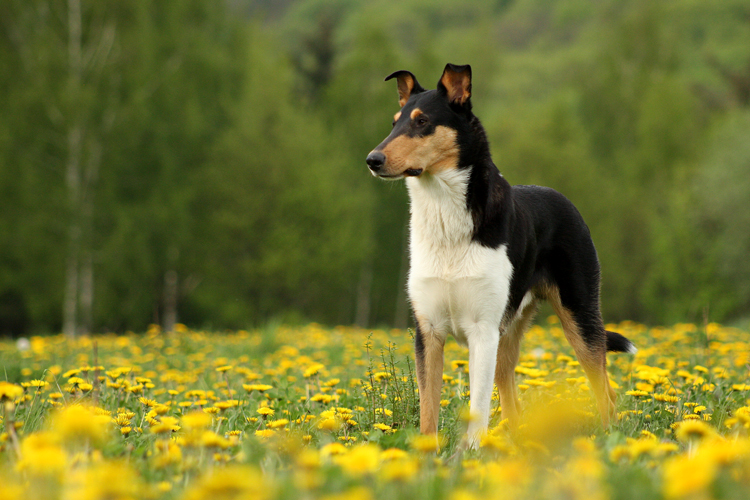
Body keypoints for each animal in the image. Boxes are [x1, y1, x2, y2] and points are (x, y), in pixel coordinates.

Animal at [368, 63, 636, 450]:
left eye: (422, 122)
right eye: (394, 123)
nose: (372, 160)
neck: (445, 218)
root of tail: (563, 198)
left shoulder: (482, 331)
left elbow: (477, 407)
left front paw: (469, 453)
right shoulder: (429, 330)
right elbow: (428, 407)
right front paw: (427, 455)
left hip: (579, 317)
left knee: (604, 387)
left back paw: (605, 439)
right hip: (508, 334)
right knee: (513, 399)